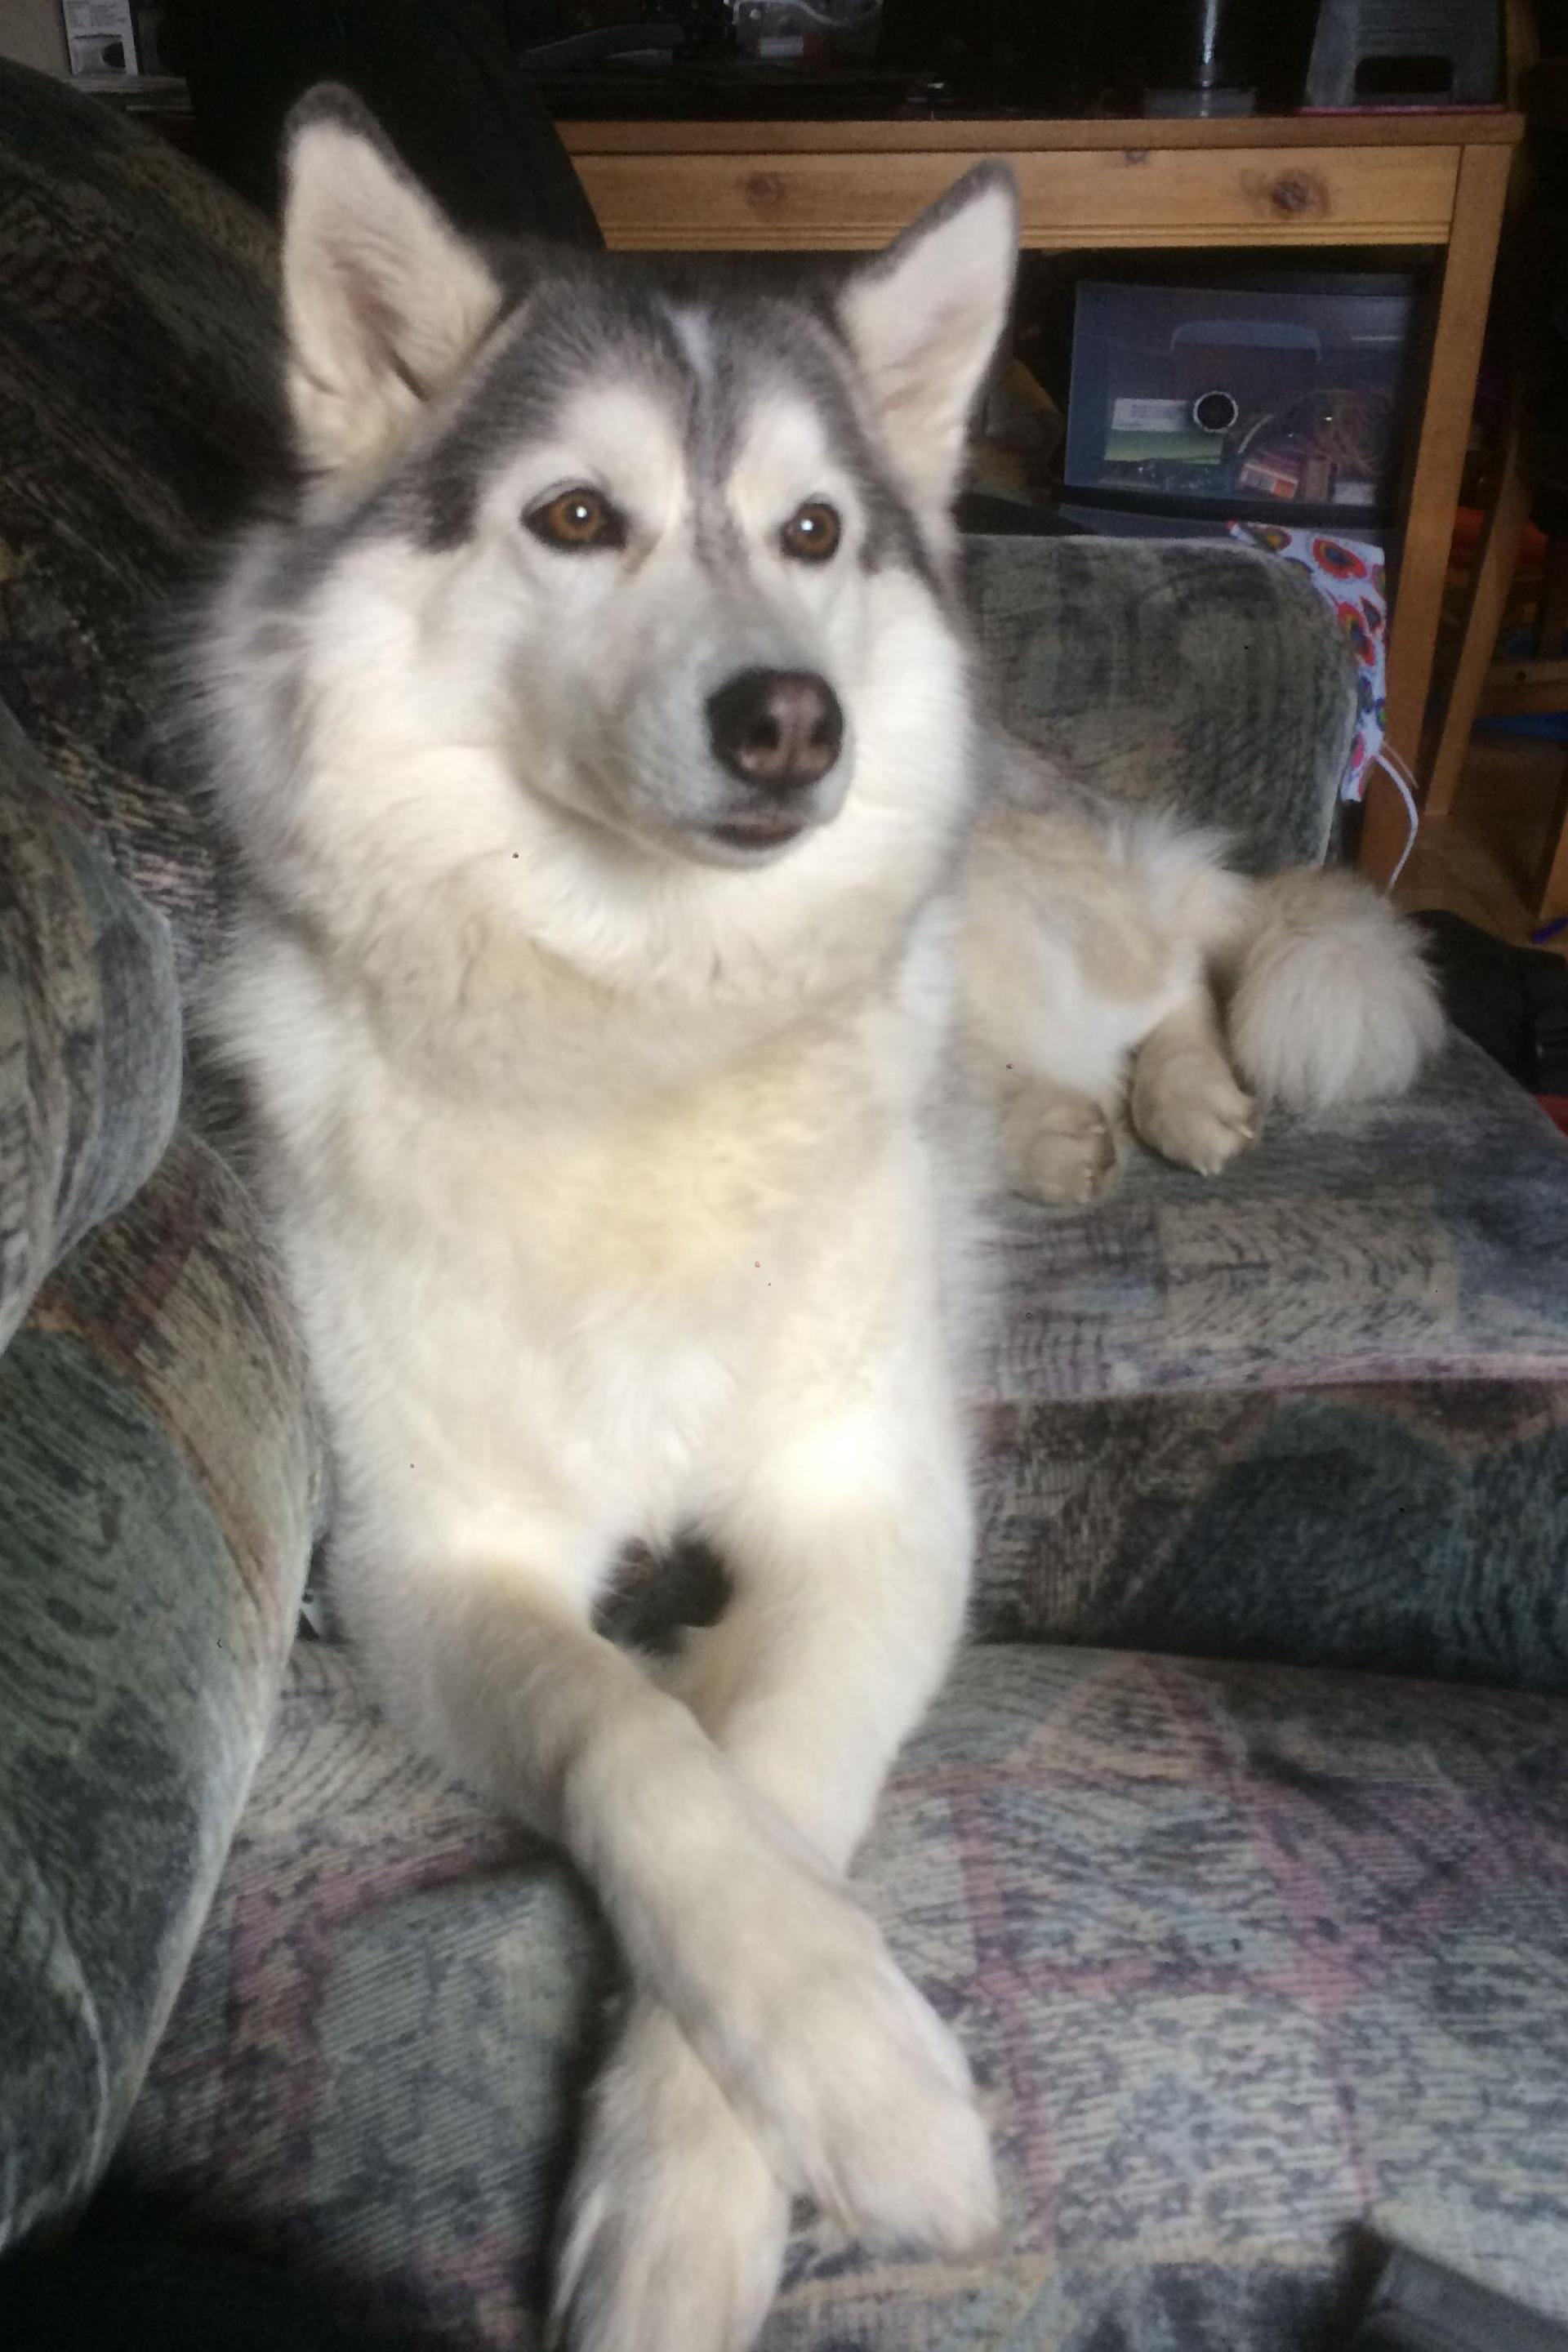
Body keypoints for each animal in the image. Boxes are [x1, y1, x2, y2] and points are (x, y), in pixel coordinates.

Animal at [202, 91, 1438, 2352]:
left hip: (1032, 929)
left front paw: (758, 2152)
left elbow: (766, 1780)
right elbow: (644, 1751)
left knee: (1196, 941)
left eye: (810, 534)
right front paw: (827, 2070)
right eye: (574, 517)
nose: (794, 721)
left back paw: (1188, 1088)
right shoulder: (429, 1571)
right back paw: (1063, 1138)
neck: (639, 1024)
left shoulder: (876, 1512)